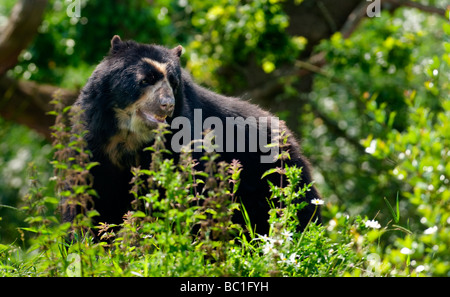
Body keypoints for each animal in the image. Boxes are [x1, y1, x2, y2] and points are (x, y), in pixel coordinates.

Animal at [64, 35, 324, 234]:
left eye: (173, 83)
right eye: (146, 80)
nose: (167, 104)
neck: (129, 136)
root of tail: (288, 135)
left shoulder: (182, 140)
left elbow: (189, 189)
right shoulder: (93, 141)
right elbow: (86, 193)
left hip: (275, 175)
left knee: (298, 209)